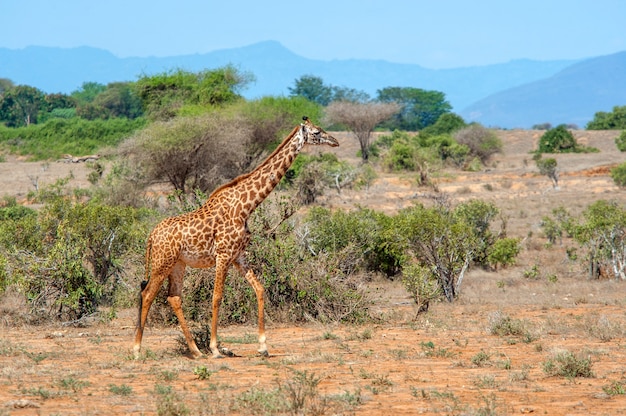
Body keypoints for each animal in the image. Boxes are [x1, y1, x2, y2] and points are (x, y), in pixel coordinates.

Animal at [132, 117, 336, 358]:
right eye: (317, 132)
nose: (335, 141)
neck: (246, 207)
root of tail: (152, 235)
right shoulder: (223, 254)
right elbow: (217, 296)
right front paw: (215, 348)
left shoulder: (238, 255)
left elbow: (260, 289)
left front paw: (263, 346)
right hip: (162, 262)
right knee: (147, 294)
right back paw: (137, 349)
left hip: (178, 264)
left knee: (174, 297)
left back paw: (195, 351)